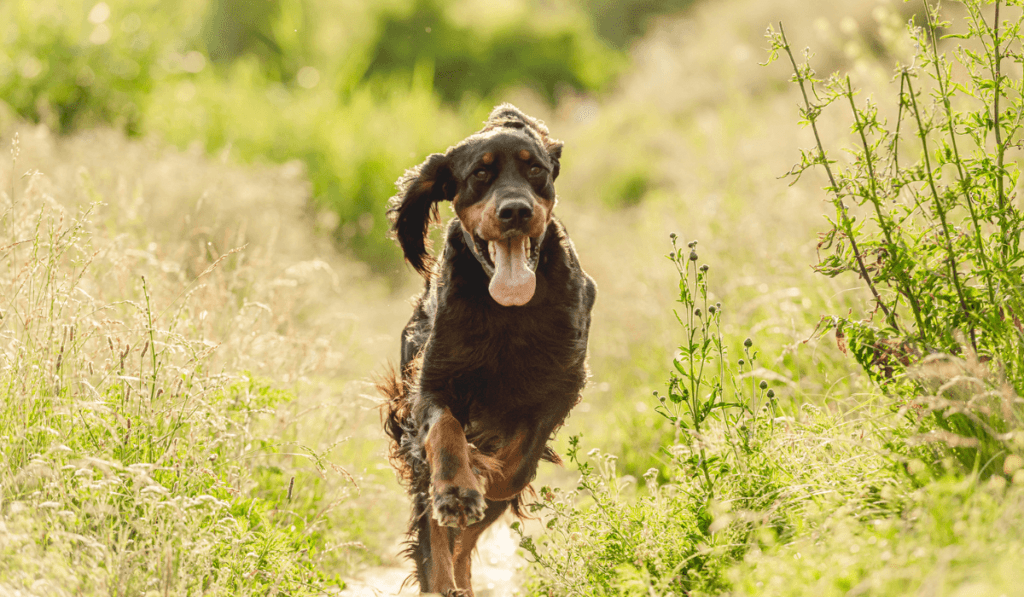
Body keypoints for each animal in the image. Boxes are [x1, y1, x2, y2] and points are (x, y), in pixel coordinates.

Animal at [380, 104, 598, 593]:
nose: (515, 210)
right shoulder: (432, 383)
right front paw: (458, 488)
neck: (508, 311)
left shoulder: (558, 385)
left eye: (535, 169)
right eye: (480, 174)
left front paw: (485, 474)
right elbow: (444, 432)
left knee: (468, 537)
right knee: (435, 530)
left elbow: (516, 464)